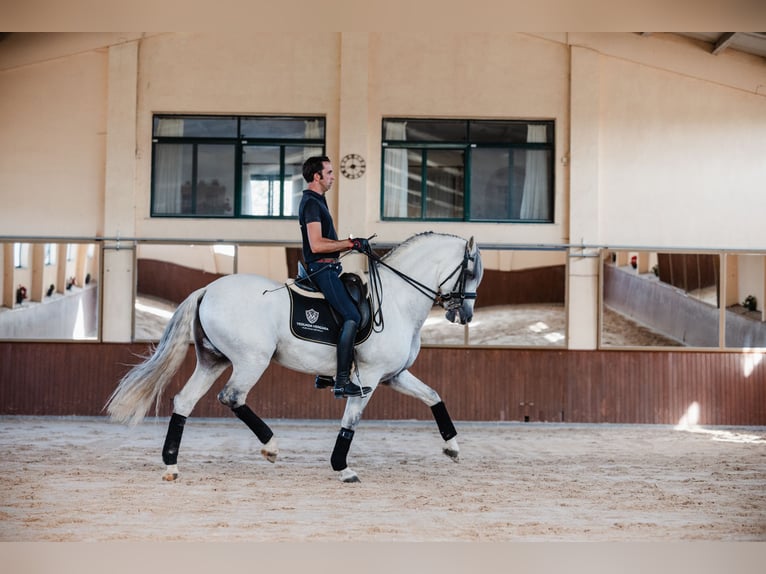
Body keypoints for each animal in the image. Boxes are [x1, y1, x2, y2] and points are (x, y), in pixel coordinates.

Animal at [105, 232, 484, 484]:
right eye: (470, 273)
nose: (463, 315)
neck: (396, 300)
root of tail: (207, 289)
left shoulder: (394, 375)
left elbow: (434, 396)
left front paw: (453, 447)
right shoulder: (369, 378)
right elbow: (350, 422)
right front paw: (342, 467)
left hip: (213, 360)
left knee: (184, 400)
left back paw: (171, 465)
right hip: (251, 360)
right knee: (232, 397)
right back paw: (271, 446)